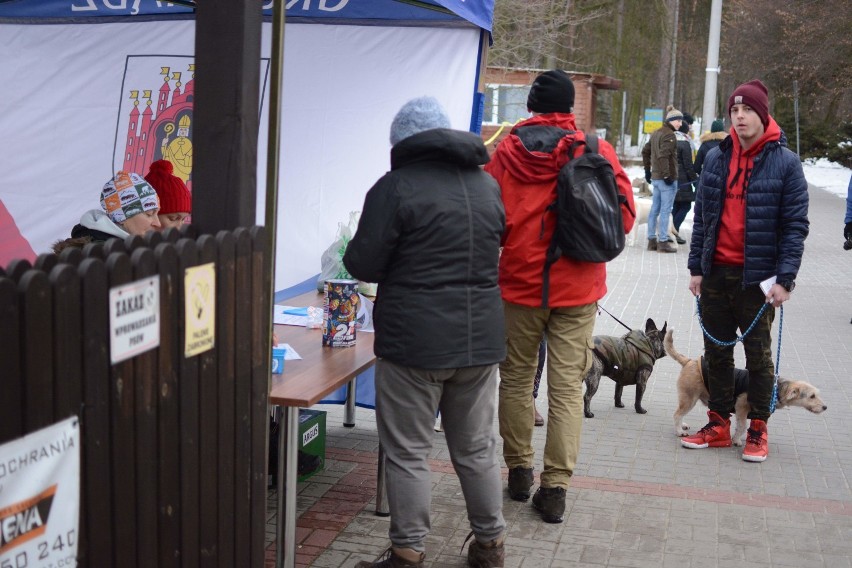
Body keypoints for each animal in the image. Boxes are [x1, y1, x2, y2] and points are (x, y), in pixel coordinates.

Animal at [664, 330, 824, 446]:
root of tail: (689, 361)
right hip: (689, 399)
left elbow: (741, 426)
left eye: (817, 394)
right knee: (677, 414)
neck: (776, 389)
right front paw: (736, 440)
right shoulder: (741, 406)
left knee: (680, 414)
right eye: (812, 396)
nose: (825, 407)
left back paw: (682, 425)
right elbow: (742, 426)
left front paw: (737, 438)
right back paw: (679, 431)